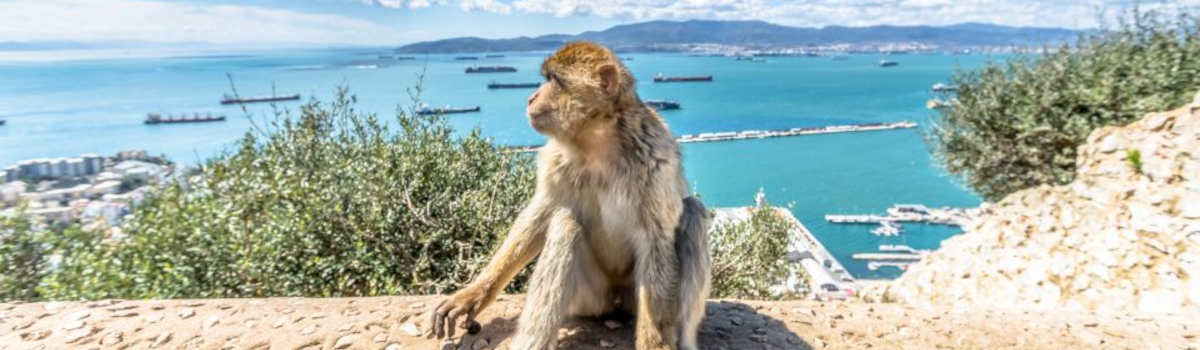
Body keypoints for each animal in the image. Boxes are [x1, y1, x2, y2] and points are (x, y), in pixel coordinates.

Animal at [434, 41, 705, 350]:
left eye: (554, 80)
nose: (531, 97)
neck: (598, 144)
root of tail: (615, 302)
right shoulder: (555, 159)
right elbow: (539, 217)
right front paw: (475, 293)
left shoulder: (656, 157)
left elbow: (656, 240)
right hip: (589, 300)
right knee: (565, 225)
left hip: (631, 297)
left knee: (694, 212)